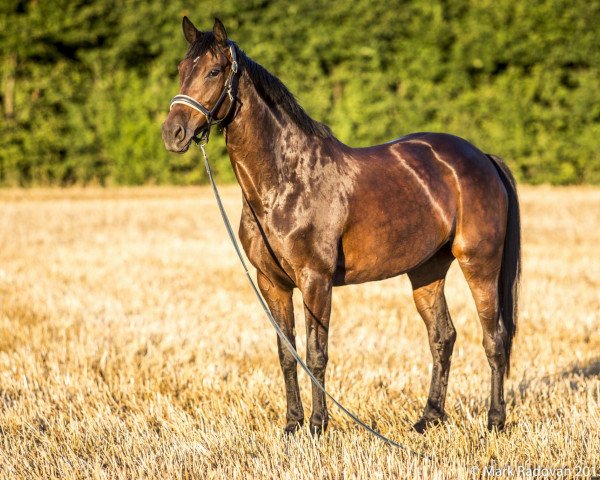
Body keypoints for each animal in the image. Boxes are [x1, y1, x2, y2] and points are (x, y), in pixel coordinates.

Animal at [163, 16, 520, 436]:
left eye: (215, 71)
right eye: (181, 70)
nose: (173, 133)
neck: (286, 180)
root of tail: (481, 157)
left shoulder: (315, 279)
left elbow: (317, 354)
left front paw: (317, 426)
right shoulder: (271, 283)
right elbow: (287, 354)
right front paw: (292, 424)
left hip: (480, 264)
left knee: (494, 338)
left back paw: (495, 420)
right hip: (426, 271)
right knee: (442, 337)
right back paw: (428, 418)